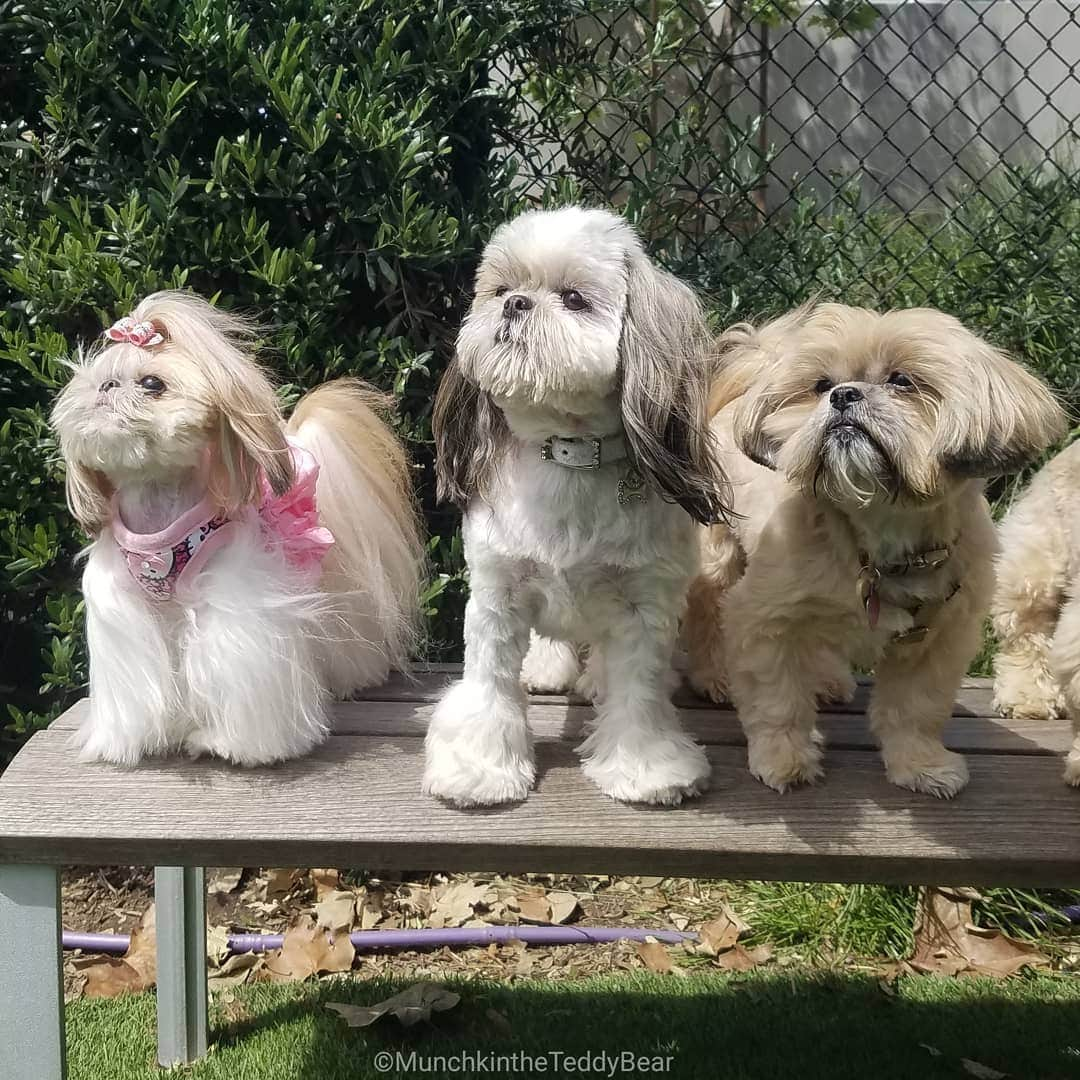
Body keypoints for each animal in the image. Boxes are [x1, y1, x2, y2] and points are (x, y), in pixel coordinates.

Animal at [51, 291, 421, 768]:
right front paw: (129, 741)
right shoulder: (124, 605)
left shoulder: (235, 604)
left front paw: (228, 743)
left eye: (152, 384)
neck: (158, 510)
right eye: (95, 381)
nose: (108, 387)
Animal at [421, 206, 725, 807]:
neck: (569, 454)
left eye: (575, 298)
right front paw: (480, 768)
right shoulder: (497, 594)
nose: (516, 303)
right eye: (500, 289)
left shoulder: (644, 605)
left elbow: (638, 690)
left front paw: (647, 769)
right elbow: (489, 686)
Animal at [682, 302, 1062, 794]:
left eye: (902, 380)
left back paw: (827, 681)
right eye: (820, 385)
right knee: (709, 614)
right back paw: (716, 676)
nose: (843, 395)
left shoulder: (940, 638)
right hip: (719, 558)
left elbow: (916, 710)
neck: (877, 531)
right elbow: (777, 700)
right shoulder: (765, 618)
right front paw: (783, 760)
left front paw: (921, 764)